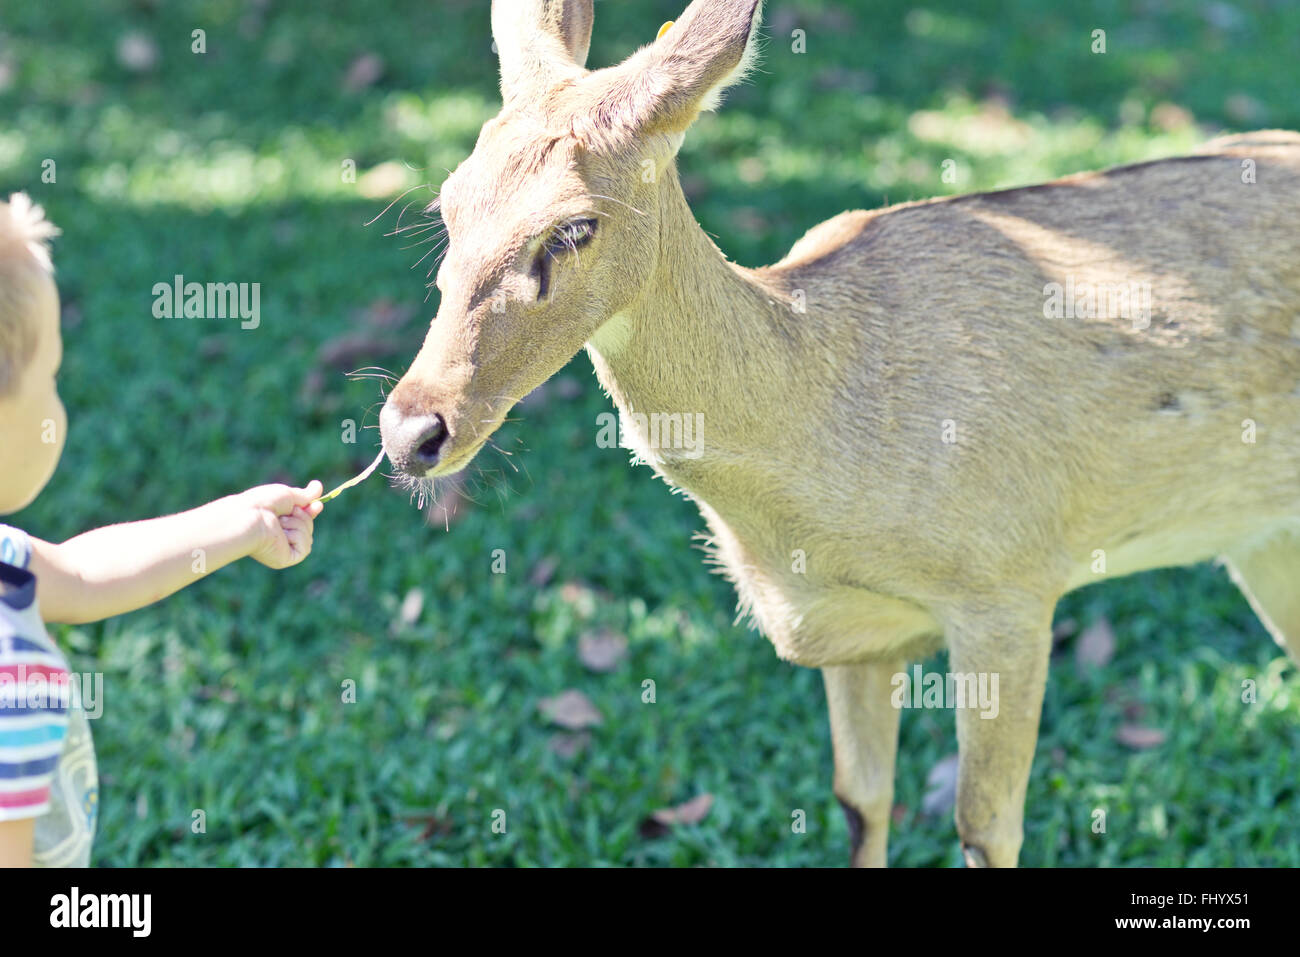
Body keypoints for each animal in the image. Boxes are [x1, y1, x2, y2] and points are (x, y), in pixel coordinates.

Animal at [377, 0, 1300, 868]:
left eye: (574, 227)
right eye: (448, 204)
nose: (412, 428)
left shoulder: (1013, 580)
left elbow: (986, 827)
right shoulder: (857, 636)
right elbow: (861, 800)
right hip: (1262, 540)